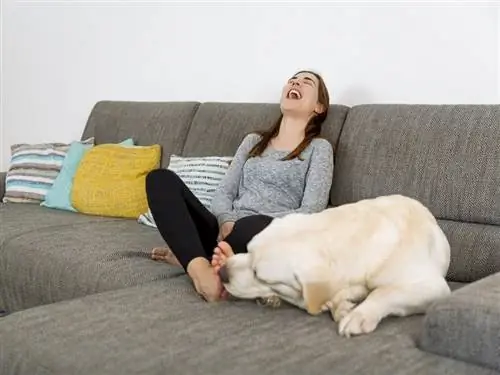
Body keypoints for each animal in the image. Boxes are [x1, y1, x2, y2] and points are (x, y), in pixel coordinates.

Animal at [221, 195, 452, 340]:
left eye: (258, 274)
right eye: (247, 250)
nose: (221, 272)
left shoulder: (433, 286)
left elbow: (383, 293)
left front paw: (359, 315)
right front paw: (341, 306)